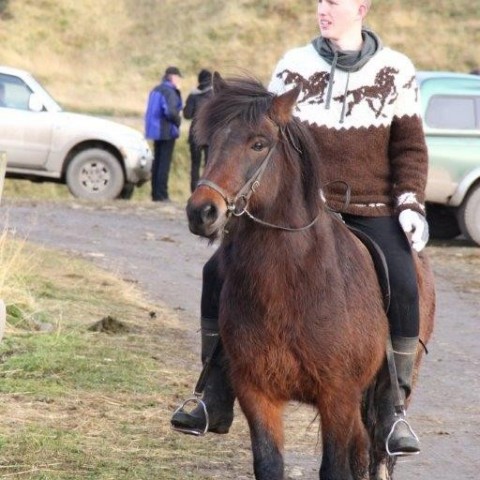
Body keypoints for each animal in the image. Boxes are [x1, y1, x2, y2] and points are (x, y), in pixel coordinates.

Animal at [187, 72, 436, 480]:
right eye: (208, 143)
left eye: (259, 143)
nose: (202, 212)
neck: (290, 284)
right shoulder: (258, 394)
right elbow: (269, 464)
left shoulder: (338, 396)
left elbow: (334, 468)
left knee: (380, 453)